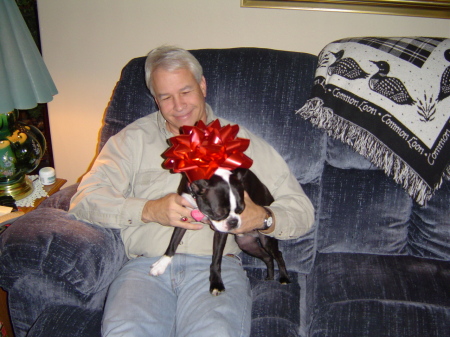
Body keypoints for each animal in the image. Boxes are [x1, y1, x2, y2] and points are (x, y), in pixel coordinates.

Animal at [151, 167, 290, 296]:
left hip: (266, 239)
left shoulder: (221, 231)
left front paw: (216, 283)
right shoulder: (183, 216)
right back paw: (270, 277)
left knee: (278, 255)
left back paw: (284, 278)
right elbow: (173, 242)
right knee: (267, 257)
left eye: (242, 210)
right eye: (219, 214)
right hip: (246, 244)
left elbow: (217, 258)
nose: (233, 222)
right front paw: (161, 264)